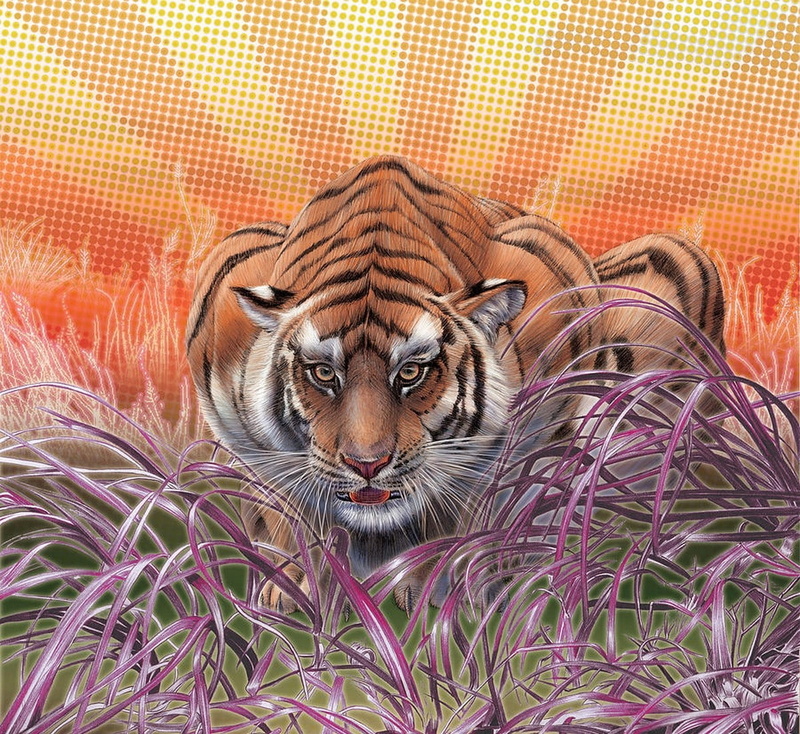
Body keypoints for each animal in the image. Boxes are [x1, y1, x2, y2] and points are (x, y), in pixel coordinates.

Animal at [186, 155, 725, 612]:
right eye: (323, 373)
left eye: (411, 372)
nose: (367, 465)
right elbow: (283, 508)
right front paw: (293, 590)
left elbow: (493, 501)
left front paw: (452, 589)